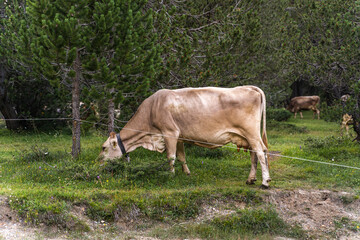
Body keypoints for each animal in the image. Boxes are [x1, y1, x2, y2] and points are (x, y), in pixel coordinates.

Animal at [98, 86, 270, 188]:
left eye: (103, 147)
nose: (98, 162)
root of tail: (249, 87)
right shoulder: (179, 136)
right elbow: (181, 156)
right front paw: (186, 173)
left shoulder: (170, 132)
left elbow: (171, 156)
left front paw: (170, 175)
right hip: (247, 136)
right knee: (255, 154)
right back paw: (251, 179)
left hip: (251, 132)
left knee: (261, 152)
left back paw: (265, 181)